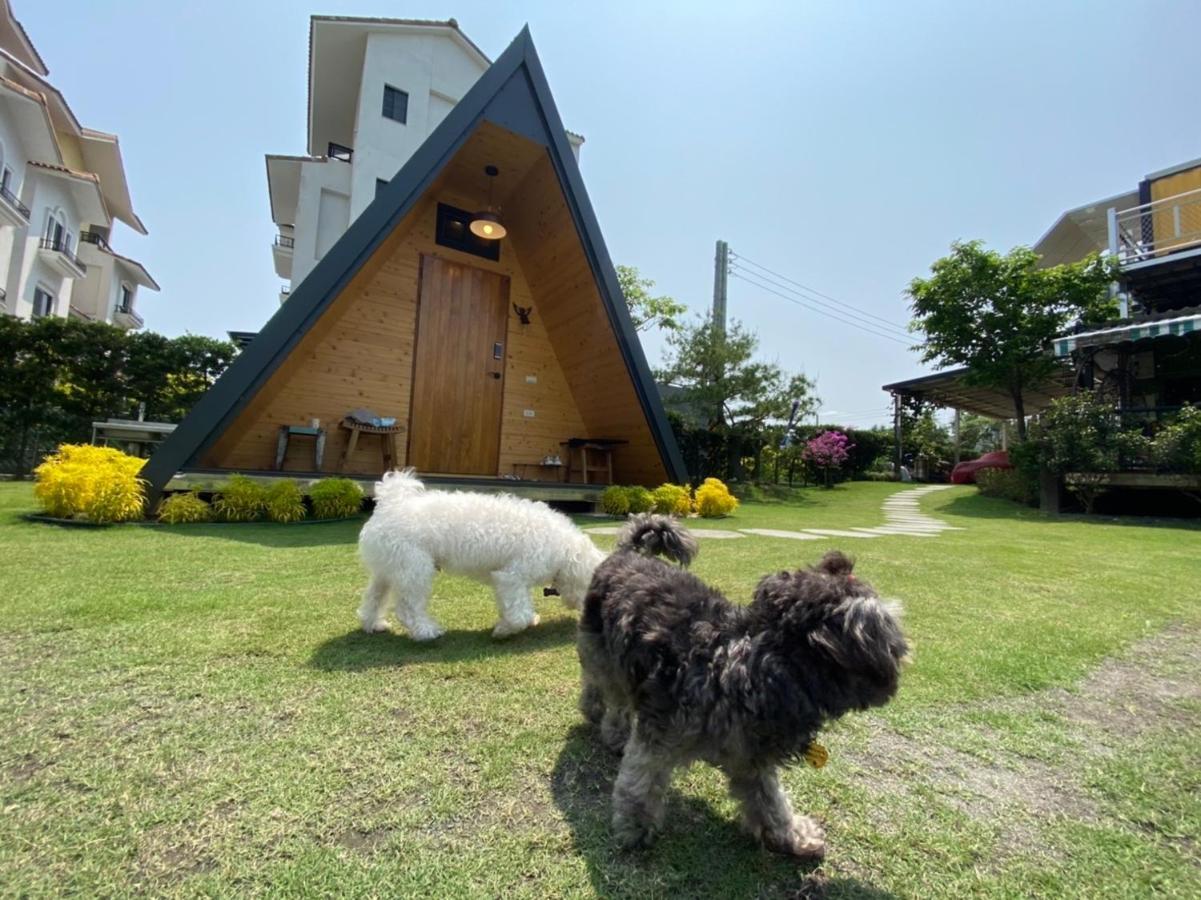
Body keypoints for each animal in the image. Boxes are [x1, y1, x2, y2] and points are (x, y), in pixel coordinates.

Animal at [353, 471, 600, 639]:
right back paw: (427, 631)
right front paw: (505, 630)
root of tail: (390, 505)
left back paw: (373, 624)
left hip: (389, 569)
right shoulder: (511, 577)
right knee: (408, 608)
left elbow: (514, 606)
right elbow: (518, 613)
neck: (565, 549)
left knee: (373, 598)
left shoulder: (507, 582)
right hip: (415, 569)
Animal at [576, 511, 903, 855]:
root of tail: (627, 552)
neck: (748, 667)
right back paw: (604, 721)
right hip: (604, 652)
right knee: (606, 691)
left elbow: (770, 801)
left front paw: (793, 834)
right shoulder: (659, 736)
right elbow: (640, 781)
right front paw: (634, 828)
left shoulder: (751, 755)